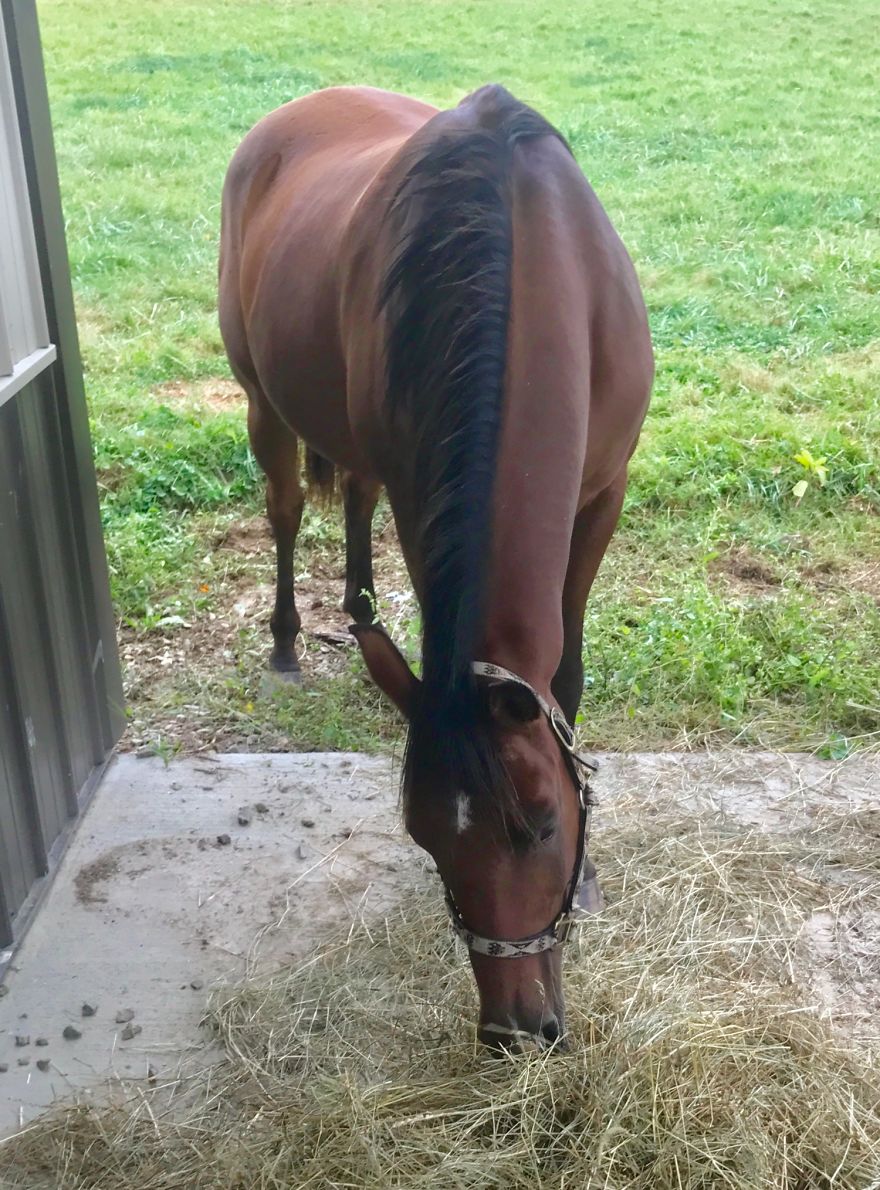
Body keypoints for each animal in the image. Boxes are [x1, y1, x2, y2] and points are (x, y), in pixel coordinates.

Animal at [219, 84, 653, 1050]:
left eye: (541, 826)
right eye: (426, 840)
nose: (515, 1032)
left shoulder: (602, 497)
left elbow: (568, 674)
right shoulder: (429, 513)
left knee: (354, 494)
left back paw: (358, 612)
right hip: (263, 400)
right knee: (288, 508)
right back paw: (288, 641)